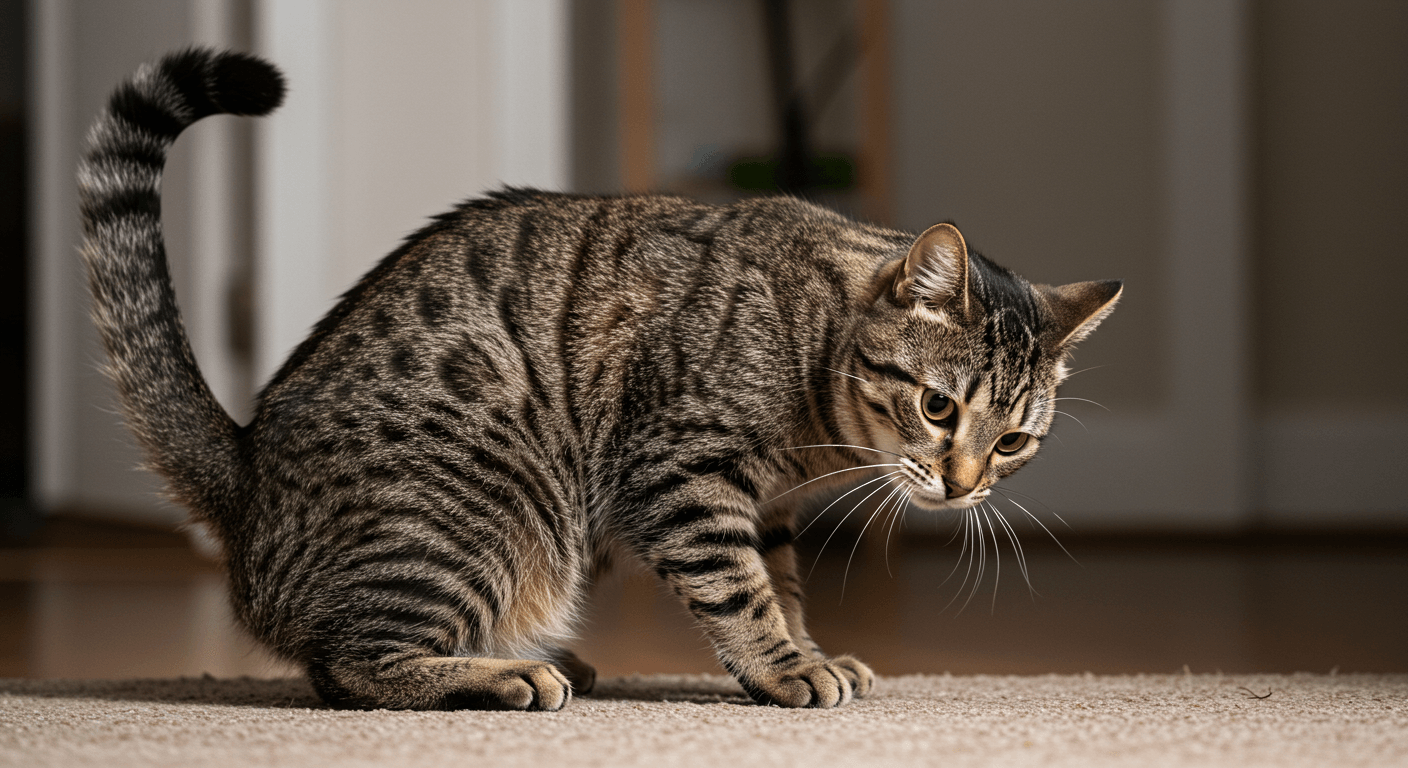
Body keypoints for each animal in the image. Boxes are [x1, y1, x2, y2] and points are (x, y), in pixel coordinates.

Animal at [79, 46, 1120, 707]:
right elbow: (740, 589)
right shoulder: (681, 469)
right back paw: (503, 674)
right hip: (477, 511)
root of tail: (245, 475)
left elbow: (781, 584)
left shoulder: (769, 506)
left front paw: (804, 649)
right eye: (939, 407)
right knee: (348, 668)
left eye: (1013, 440)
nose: (963, 484)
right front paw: (786, 666)